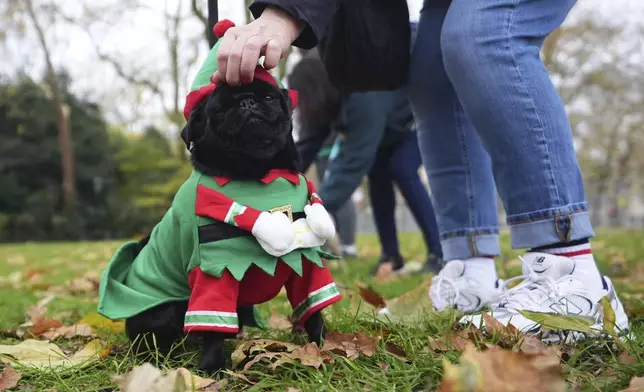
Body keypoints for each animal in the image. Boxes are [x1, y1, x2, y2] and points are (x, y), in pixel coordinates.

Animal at [118, 77, 334, 374]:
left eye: (269, 98)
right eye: (219, 110)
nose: (247, 102)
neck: (260, 177)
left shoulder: (306, 260)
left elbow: (314, 308)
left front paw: (323, 345)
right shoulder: (216, 271)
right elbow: (214, 328)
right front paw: (209, 368)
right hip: (164, 314)